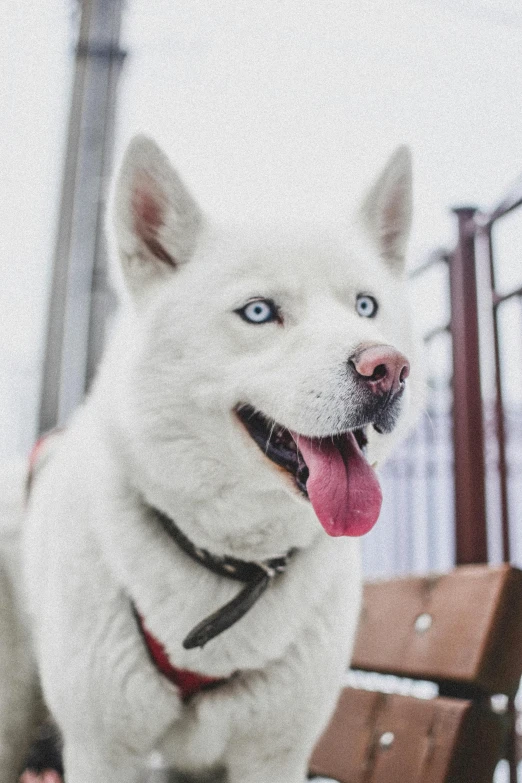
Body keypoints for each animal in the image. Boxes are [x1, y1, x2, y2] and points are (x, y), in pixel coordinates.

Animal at [0, 139, 422, 783]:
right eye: (259, 312)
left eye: (365, 305)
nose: (388, 369)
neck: (234, 565)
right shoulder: (104, 752)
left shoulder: (274, 755)